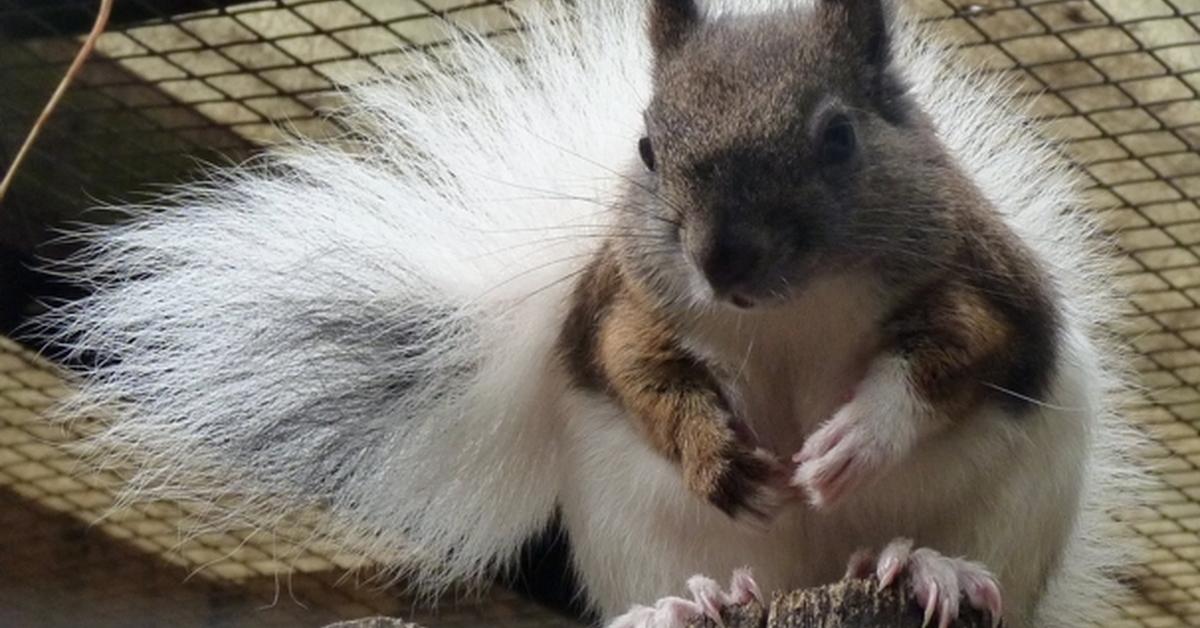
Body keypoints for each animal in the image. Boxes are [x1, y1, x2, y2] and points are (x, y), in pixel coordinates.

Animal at [37, 1, 1142, 628]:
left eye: (839, 137)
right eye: (647, 145)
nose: (721, 259)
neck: (785, 313)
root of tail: (805, 576)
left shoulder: (979, 280)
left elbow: (949, 355)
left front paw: (853, 440)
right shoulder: (626, 304)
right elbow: (637, 370)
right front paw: (714, 451)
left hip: (1019, 504)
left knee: (979, 561)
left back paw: (928, 567)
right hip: (633, 522)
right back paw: (685, 606)